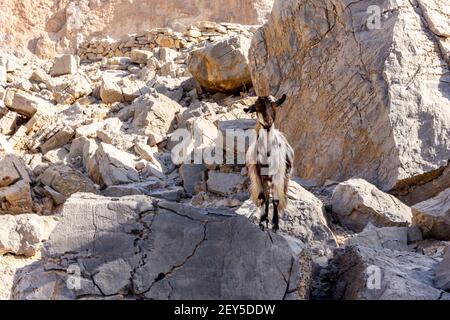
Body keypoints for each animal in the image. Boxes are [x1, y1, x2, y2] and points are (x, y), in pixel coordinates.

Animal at [244, 94, 294, 231]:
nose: (268, 121)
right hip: (265, 179)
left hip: (285, 176)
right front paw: (262, 222)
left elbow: (276, 199)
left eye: (274, 105)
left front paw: (275, 225)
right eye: (256, 107)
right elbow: (262, 197)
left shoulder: (278, 174)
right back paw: (265, 219)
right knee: (266, 197)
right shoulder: (258, 174)